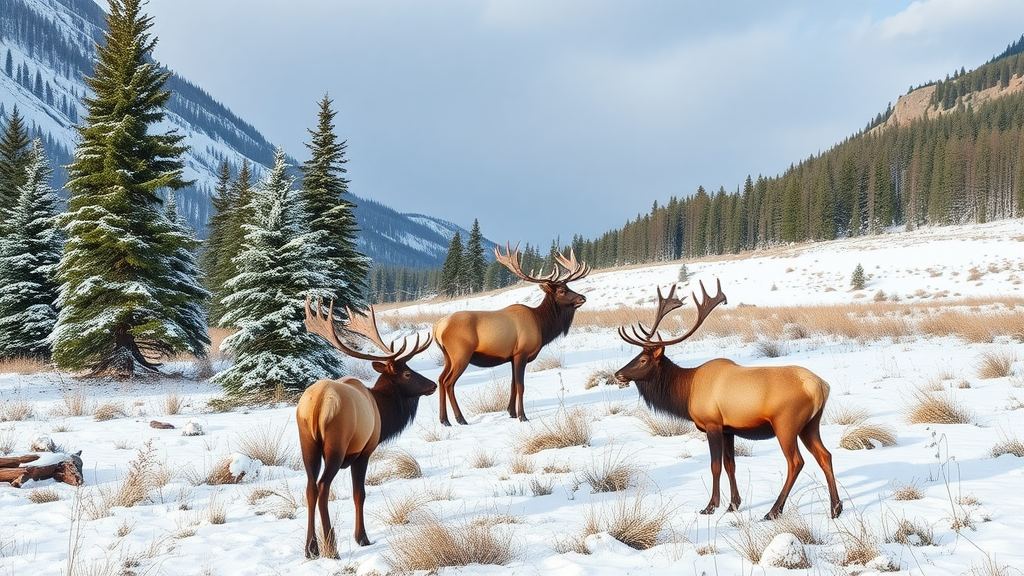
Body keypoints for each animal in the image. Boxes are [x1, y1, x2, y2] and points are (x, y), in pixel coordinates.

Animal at [299, 301, 438, 557]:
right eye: (407, 373)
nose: (432, 385)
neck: (383, 412)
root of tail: (317, 405)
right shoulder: (364, 451)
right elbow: (359, 494)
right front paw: (362, 537)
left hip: (307, 444)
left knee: (310, 488)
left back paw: (310, 548)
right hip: (336, 445)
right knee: (323, 487)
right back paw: (332, 547)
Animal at [432, 239, 593, 424]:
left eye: (568, 287)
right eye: (561, 290)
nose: (583, 298)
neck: (541, 325)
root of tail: (437, 328)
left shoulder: (511, 356)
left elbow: (512, 384)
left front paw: (511, 412)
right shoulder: (521, 353)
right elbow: (520, 386)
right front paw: (523, 416)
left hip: (447, 357)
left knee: (440, 379)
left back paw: (444, 419)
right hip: (461, 354)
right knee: (449, 382)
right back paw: (459, 419)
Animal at [614, 280, 839, 518]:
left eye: (643, 359)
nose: (618, 374)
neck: (686, 392)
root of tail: (821, 387)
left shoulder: (712, 424)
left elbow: (715, 465)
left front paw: (710, 506)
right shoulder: (728, 429)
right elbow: (731, 464)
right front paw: (734, 504)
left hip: (786, 423)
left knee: (796, 461)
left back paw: (773, 511)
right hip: (810, 424)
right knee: (825, 455)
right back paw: (836, 508)